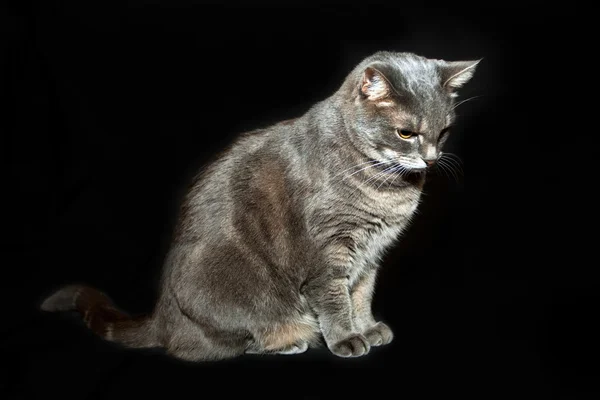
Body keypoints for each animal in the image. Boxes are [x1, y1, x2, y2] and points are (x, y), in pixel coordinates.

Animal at [39, 51, 478, 360]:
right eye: (406, 133)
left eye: (444, 131)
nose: (432, 159)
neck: (387, 189)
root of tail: (162, 316)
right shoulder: (328, 253)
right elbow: (335, 299)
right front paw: (348, 339)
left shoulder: (372, 254)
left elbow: (361, 293)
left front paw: (367, 327)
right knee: (215, 345)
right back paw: (288, 342)